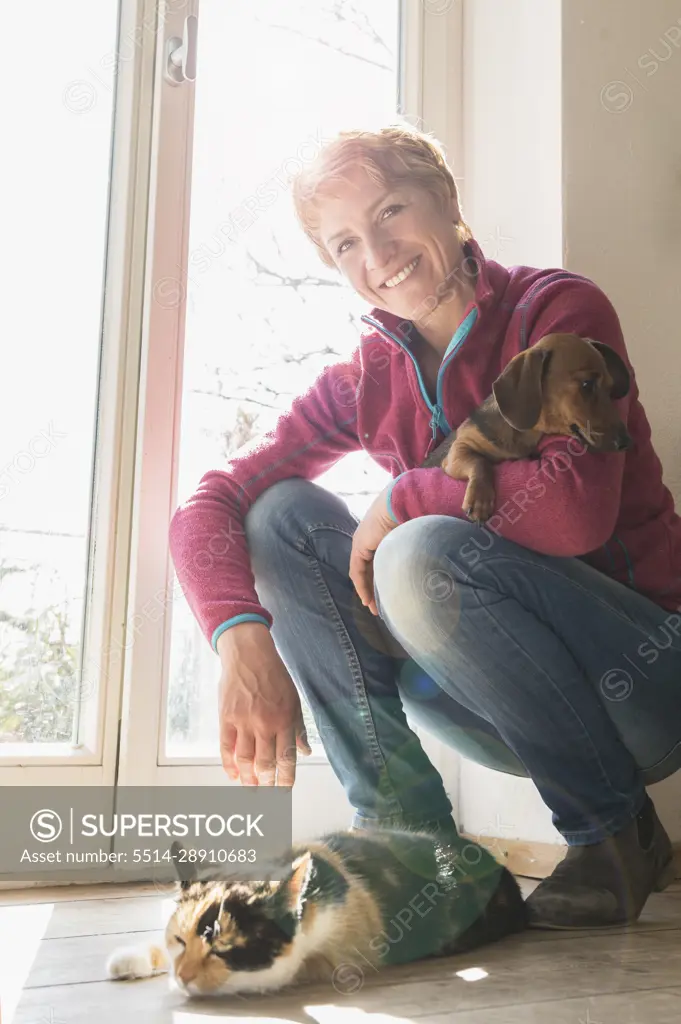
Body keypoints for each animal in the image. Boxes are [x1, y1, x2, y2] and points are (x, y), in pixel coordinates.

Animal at [419, 333, 630, 524]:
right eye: (587, 384)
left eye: (610, 389)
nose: (627, 442)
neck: (523, 434)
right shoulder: (458, 450)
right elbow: (480, 462)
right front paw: (479, 499)